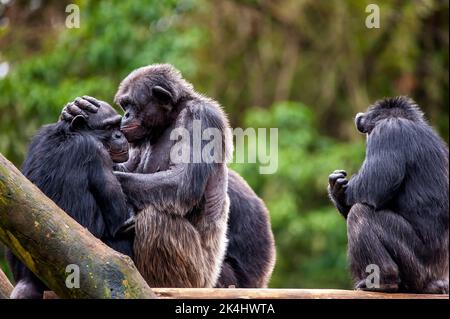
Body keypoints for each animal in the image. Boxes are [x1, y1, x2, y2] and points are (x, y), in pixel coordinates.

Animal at [7, 97, 134, 300]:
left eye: (117, 125)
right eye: (108, 127)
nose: (119, 136)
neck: (68, 134)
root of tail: (27, 279)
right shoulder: (96, 151)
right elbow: (120, 220)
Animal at [61, 63, 276, 288]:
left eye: (131, 104)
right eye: (124, 105)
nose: (126, 115)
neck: (170, 118)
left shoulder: (201, 118)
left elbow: (181, 182)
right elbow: (128, 165)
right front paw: (74, 109)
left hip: (200, 275)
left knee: (155, 218)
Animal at [328, 97, 448, 296]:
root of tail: (439, 281)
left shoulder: (387, 133)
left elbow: (371, 189)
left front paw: (336, 188)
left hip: (418, 268)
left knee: (360, 215)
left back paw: (381, 281)